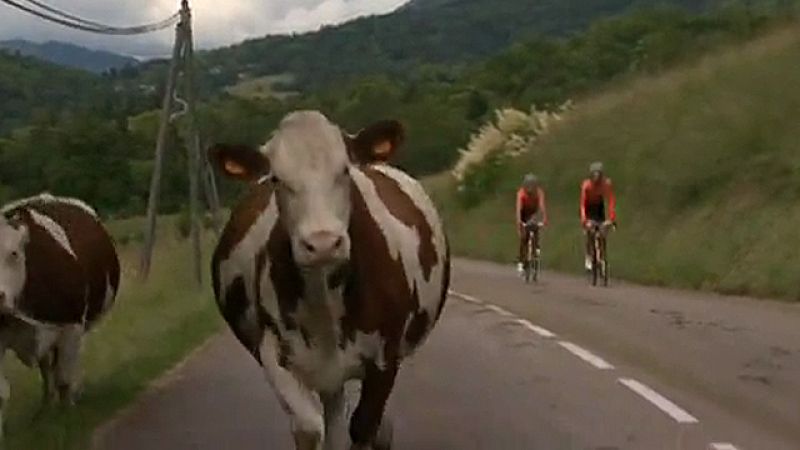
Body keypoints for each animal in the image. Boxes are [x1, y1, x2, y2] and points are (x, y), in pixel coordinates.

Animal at [0, 194, 120, 437]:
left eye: (13, 253)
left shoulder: (71, 326)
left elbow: (64, 376)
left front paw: (68, 417)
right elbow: (1, 393)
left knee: (63, 368)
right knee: (48, 370)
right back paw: (45, 407)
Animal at [210, 111, 450, 450]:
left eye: (345, 170)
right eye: (276, 180)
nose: (322, 243)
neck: (324, 301)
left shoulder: (386, 357)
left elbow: (364, 427)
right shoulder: (271, 349)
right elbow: (309, 427)